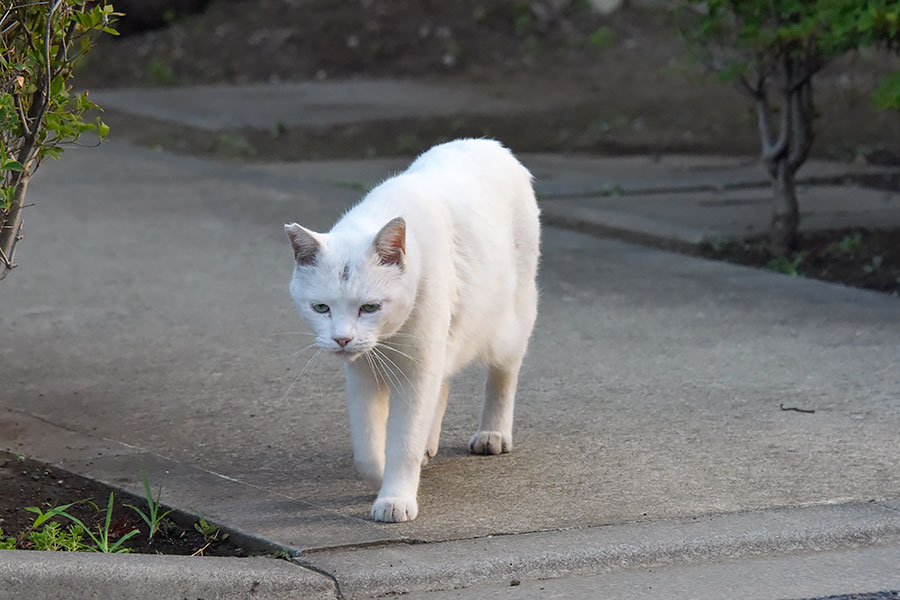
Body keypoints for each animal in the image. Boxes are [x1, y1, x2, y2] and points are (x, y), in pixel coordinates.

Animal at [284, 138, 536, 524]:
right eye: (321, 308)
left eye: (370, 307)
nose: (342, 338)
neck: (386, 340)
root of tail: (490, 144)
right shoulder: (363, 374)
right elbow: (366, 448)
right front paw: (381, 475)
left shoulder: (418, 370)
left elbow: (403, 441)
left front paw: (395, 497)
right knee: (443, 386)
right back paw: (429, 447)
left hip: (509, 323)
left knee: (503, 374)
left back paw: (492, 433)